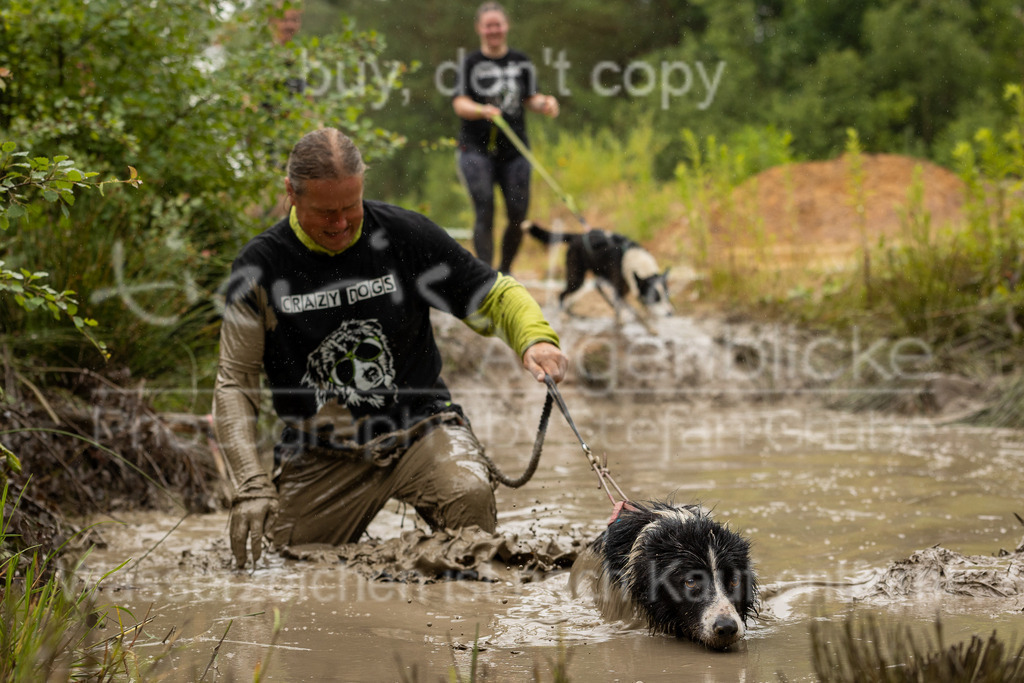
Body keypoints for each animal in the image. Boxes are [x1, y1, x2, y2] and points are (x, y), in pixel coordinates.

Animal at [524, 222, 675, 323]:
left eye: (666, 296)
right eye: (655, 298)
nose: (670, 313)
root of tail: (578, 236)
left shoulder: (624, 288)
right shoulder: (619, 288)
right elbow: (626, 306)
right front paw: (628, 317)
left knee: (595, 288)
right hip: (577, 278)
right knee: (562, 294)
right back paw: (563, 314)